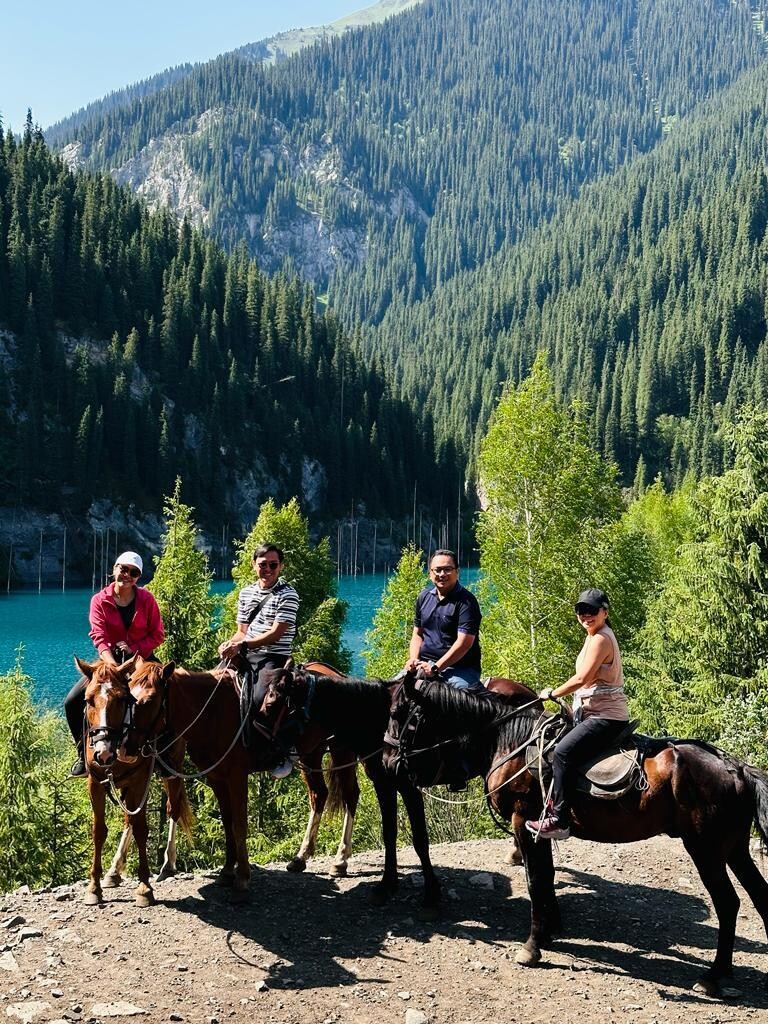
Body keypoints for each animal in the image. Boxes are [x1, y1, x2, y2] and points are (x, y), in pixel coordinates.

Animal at [75, 655, 193, 905]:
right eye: (88, 700)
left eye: (121, 699)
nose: (103, 753)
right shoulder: (96, 784)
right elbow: (99, 831)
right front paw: (94, 887)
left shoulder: (140, 781)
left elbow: (141, 829)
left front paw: (144, 888)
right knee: (128, 819)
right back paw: (114, 871)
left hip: (172, 767)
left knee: (173, 809)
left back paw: (168, 864)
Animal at [125, 659, 364, 892]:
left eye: (149, 700)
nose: (126, 744)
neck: (211, 713)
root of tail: (338, 675)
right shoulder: (217, 779)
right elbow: (227, 823)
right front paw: (227, 871)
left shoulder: (236, 777)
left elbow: (239, 824)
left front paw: (242, 876)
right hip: (310, 754)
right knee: (319, 795)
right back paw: (300, 858)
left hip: (341, 750)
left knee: (350, 794)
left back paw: (340, 860)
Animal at [385, 675, 768, 995]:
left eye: (398, 714)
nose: (390, 764)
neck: (510, 743)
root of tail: (736, 767)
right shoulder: (539, 828)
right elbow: (546, 877)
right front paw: (549, 934)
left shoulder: (523, 822)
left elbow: (534, 882)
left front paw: (532, 946)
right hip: (734, 848)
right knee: (758, 897)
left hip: (706, 849)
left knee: (728, 903)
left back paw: (712, 976)